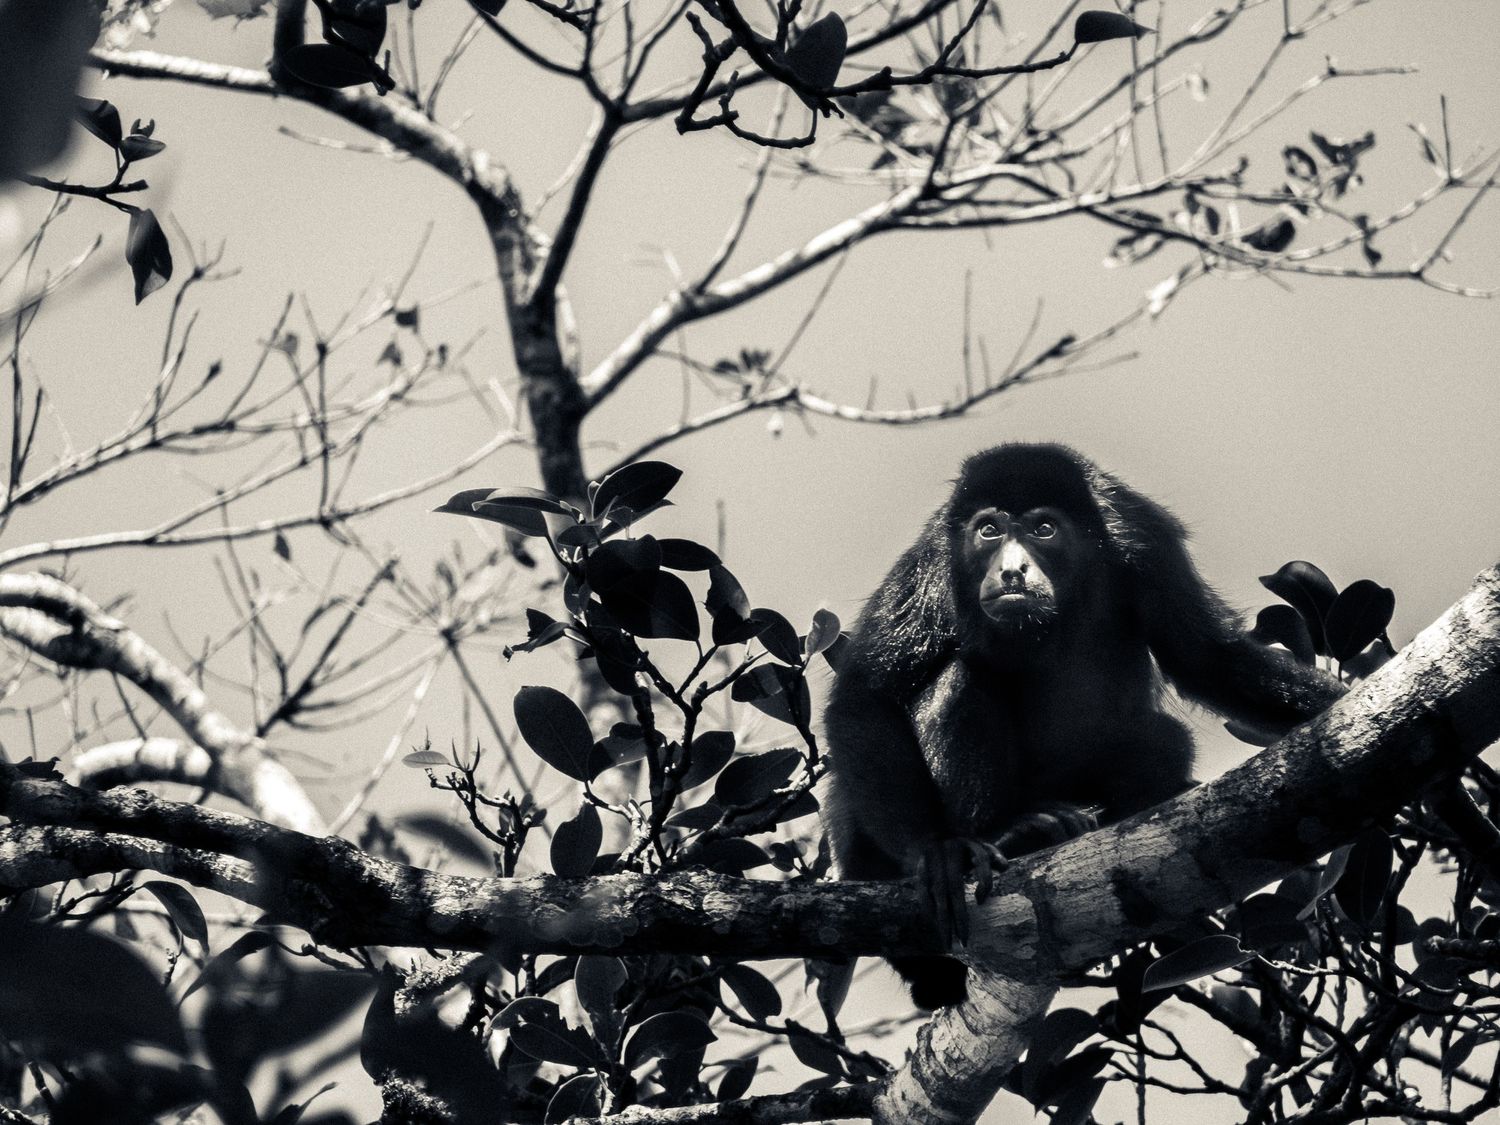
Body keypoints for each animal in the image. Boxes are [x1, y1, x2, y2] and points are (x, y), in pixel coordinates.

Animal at [822, 443, 1344, 1009]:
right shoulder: (933, 559)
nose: (1012, 571)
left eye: (1044, 529)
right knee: (962, 679)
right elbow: (865, 696)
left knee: (1164, 740)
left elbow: (1207, 657)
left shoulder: (1144, 538)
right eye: (989, 531)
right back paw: (1011, 833)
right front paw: (936, 850)